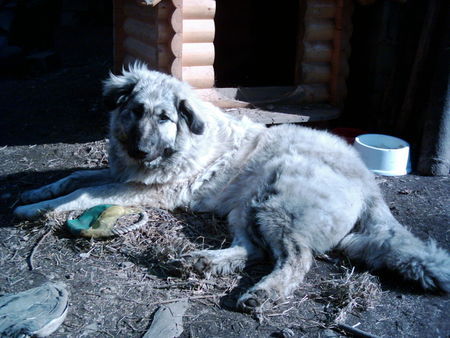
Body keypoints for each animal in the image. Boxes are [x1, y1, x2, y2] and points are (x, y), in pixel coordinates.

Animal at [14, 62, 450, 312]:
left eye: (164, 117)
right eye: (135, 111)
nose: (140, 149)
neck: (179, 143)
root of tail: (367, 184)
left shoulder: (141, 190)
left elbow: (80, 194)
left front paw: (38, 210)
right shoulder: (121, 177)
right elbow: (71, 178)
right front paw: (34, 195)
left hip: (277, 203)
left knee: (295, 259)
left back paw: (263, 292)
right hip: (247, 205)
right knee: (254, 250)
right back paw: (201, 262)